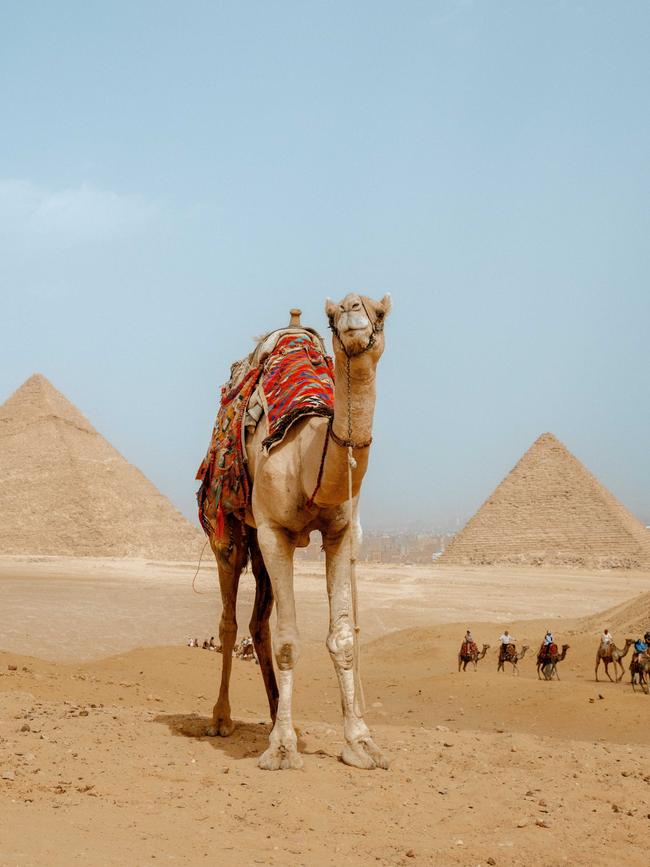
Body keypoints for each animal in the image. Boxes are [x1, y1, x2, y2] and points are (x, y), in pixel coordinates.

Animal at [200, 294, 390, 768]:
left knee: (257, 623)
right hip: (232, 533)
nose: (354, 313)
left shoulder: (342, 533)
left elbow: (342, 638)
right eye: (335, 314)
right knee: (230, 620)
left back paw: (275, 717)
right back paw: (221, 718)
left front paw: (360, 743)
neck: (308, 452)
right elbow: (288, 640)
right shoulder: (273, 531)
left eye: (379, 312)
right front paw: (283, 750)